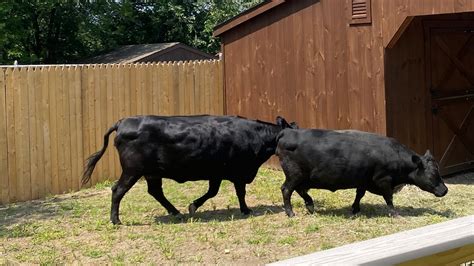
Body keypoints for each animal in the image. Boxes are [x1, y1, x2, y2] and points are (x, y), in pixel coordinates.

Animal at [82, 115, 296, 224]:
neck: (253, 135)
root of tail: (123, 122)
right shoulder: (236, 172)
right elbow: (236, 192)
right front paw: (245, 209)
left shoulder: (218, 173)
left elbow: (217, 191)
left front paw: (193, 206)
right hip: (132, 171)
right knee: (118, 191)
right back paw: (115, 220)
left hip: (152, 173)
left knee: (155, 191)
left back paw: (175, 212)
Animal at [276, 128, 446, 217]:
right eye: (432, 174)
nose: (445, 190)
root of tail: (287, 132)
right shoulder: (383, 180)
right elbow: (389, 198)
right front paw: (394, 213)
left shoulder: (363, 179)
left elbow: (359, 194)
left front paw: (355, 208)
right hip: (294, 175)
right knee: (287, 190)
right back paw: (290, 213)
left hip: (302, 177)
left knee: (301, 190)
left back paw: (310, 205)